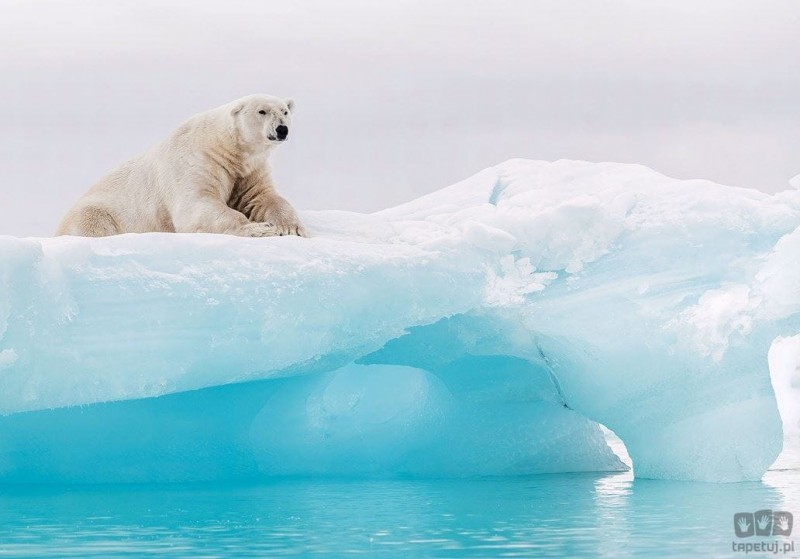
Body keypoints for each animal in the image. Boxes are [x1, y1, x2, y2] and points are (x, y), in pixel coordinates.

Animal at [56, 94, 307, 238]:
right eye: (262, 111)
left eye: (285, 111)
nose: (281, 129)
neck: (225, 147)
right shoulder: (198, 163)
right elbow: (197, 205)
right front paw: (259, 228)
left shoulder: (249, 169)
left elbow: (262, 198)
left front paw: (291, 227)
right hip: (98, 212)